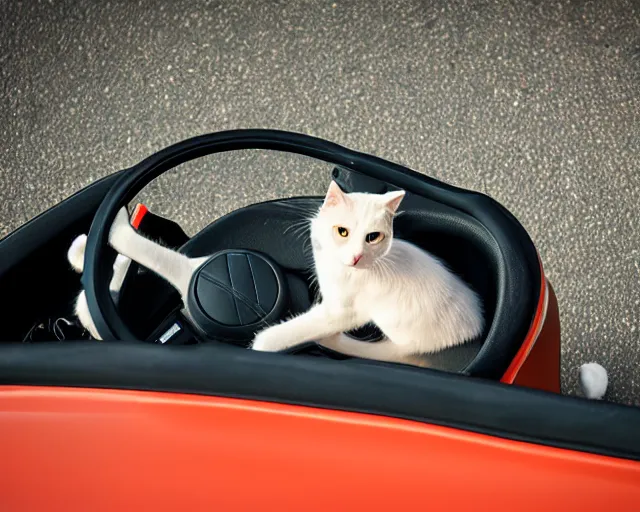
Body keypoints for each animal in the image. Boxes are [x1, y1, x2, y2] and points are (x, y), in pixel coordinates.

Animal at [250, 182, 484, 366]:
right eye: (342, 231)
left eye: (373, 237)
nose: (356, 256)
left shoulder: (345, 312)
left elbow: (305, 326)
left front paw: (264, 342)